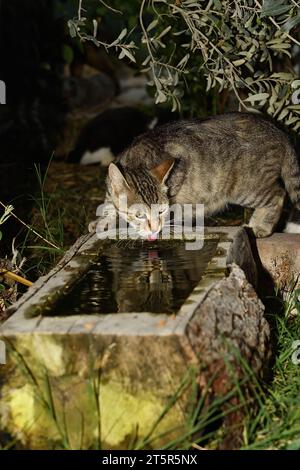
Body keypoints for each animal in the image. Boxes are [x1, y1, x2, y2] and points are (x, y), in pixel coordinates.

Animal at [91, 112, 300, 239]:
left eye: (161, 211)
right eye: (139, 215)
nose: (155, 228)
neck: (138, 160)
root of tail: (279, 131)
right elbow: (109, 206)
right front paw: (102, 222)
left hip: (248, 188)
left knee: (278, 194)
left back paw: (260, 226)